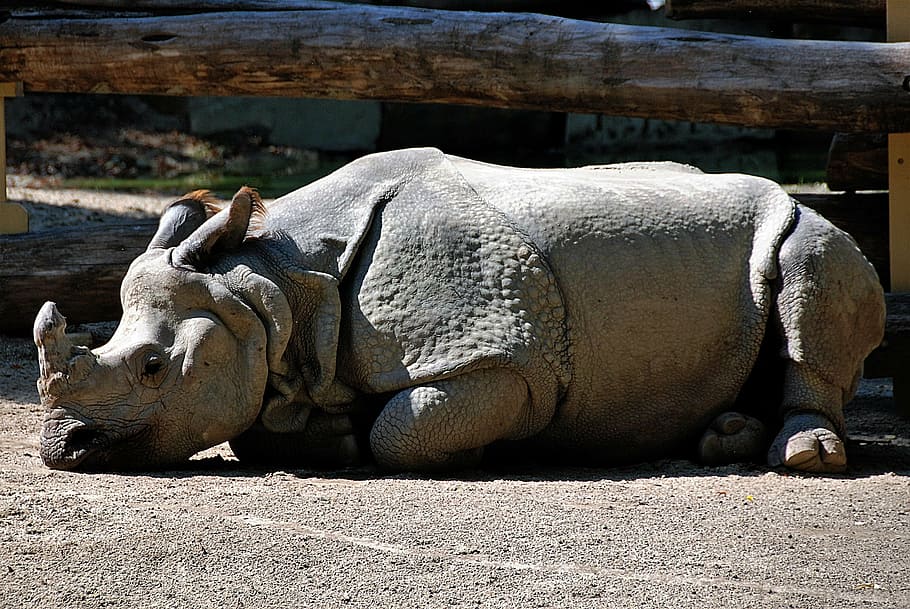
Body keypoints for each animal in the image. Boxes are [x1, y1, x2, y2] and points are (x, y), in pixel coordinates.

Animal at [34, 148, 885, 473]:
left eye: (154, 367)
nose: (61, 448)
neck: (273, 279)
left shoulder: (500, 354)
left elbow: (402, 430)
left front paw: (469, 449)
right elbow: (262, 424)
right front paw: (330, 435)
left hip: (808, 224)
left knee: (813, 264)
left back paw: (803, 454)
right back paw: (723, 436)